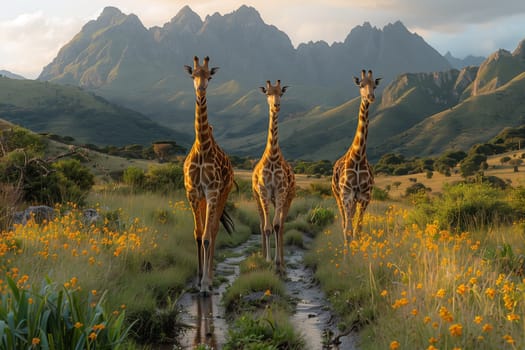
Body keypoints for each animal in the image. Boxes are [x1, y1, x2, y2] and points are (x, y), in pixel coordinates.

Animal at [332, 69, 380, 245]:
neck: (358, 157)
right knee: (344, 223)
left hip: (353, 201)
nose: (370, 97)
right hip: (338, 196)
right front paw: (348, 252)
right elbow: (348, 230)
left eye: (374, 85)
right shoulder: (346, 195)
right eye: (361, 85)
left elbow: (358, 230)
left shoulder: (365, 197)